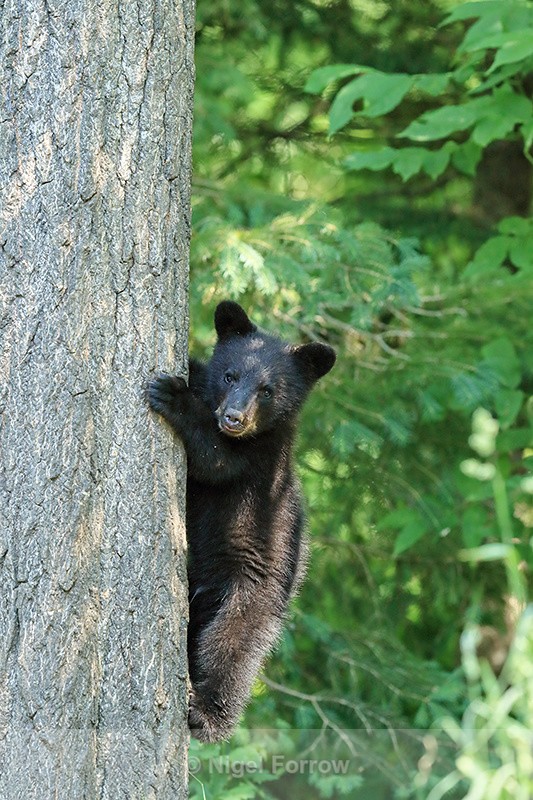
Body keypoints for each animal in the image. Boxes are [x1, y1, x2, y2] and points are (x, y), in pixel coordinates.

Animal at [147, 300, 336, 742]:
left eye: (268, 390)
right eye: (230, 375)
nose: (234, 417)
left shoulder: (259, 461)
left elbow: (213, 459)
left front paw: (173, 396)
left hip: (253, 595)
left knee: (232, 649)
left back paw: (207, 714)